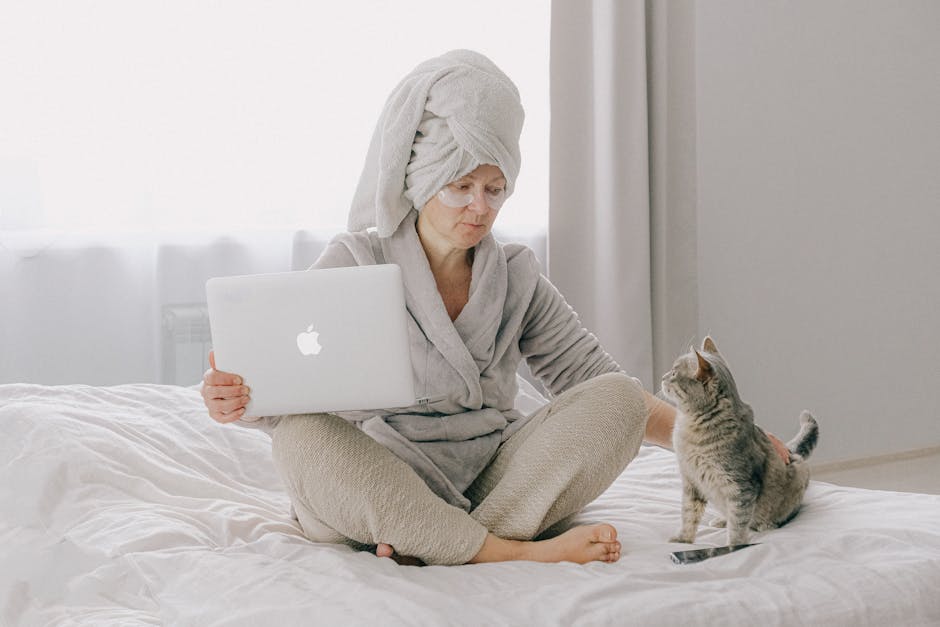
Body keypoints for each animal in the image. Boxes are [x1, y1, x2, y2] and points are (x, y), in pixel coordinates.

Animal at [656, 336, 820, 548]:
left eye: (674, 373)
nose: (662, 376)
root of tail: (793, 453)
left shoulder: (740, 487)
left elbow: (738, 523)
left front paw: (734, 546)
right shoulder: (691, 481)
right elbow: (689, 514)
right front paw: (683, 539)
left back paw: (766, 524)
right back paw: (721, 519)